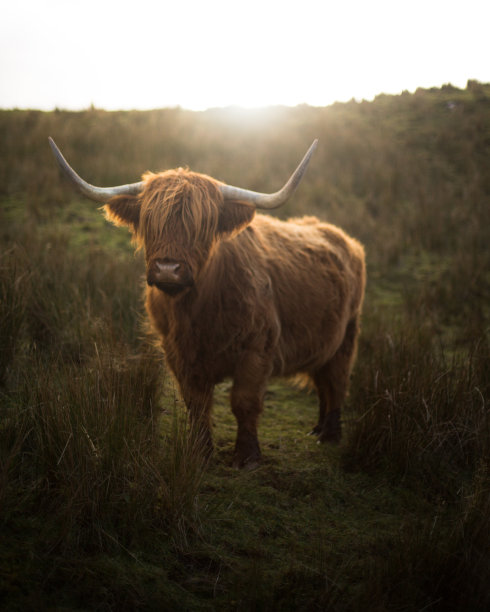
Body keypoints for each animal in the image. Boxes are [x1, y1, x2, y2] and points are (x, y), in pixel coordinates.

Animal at [49, 139, 366, 468]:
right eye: (150, 222)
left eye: (202, 226)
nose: (167, 269)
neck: (197, 312)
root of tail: (343, 238)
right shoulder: (178, 352)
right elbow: (197, 403)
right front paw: (200, 452)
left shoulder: (257, 348)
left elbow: (244, 401)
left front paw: (247, 456)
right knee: (322, 380)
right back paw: (317, 428)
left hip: (348, 334)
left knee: (336, 381)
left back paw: (329, 434)